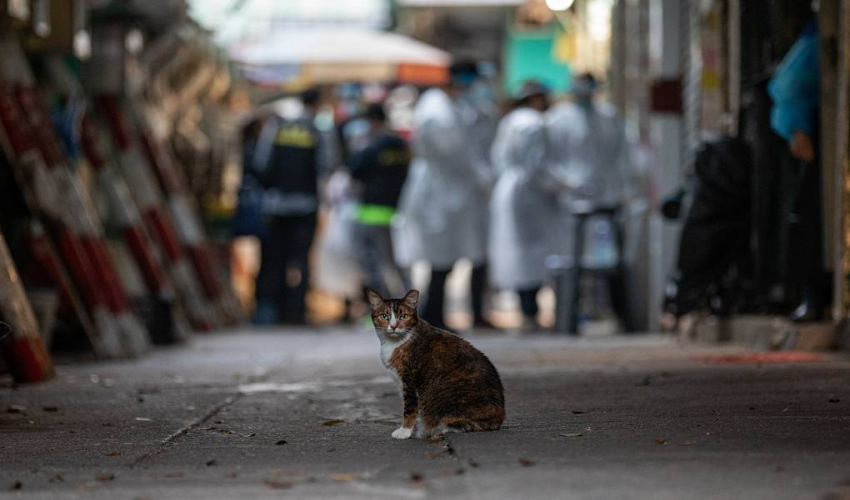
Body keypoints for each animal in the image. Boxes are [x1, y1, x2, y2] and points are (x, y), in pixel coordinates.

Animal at [364, 288, 504, 440]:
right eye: (384, 316)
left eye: (403, 316)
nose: (393, 326)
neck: (394, 342)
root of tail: (500, 419)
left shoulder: (409, 380)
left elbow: (409, 408)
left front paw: (404, 431)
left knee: (464, 424)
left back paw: (433, 430)